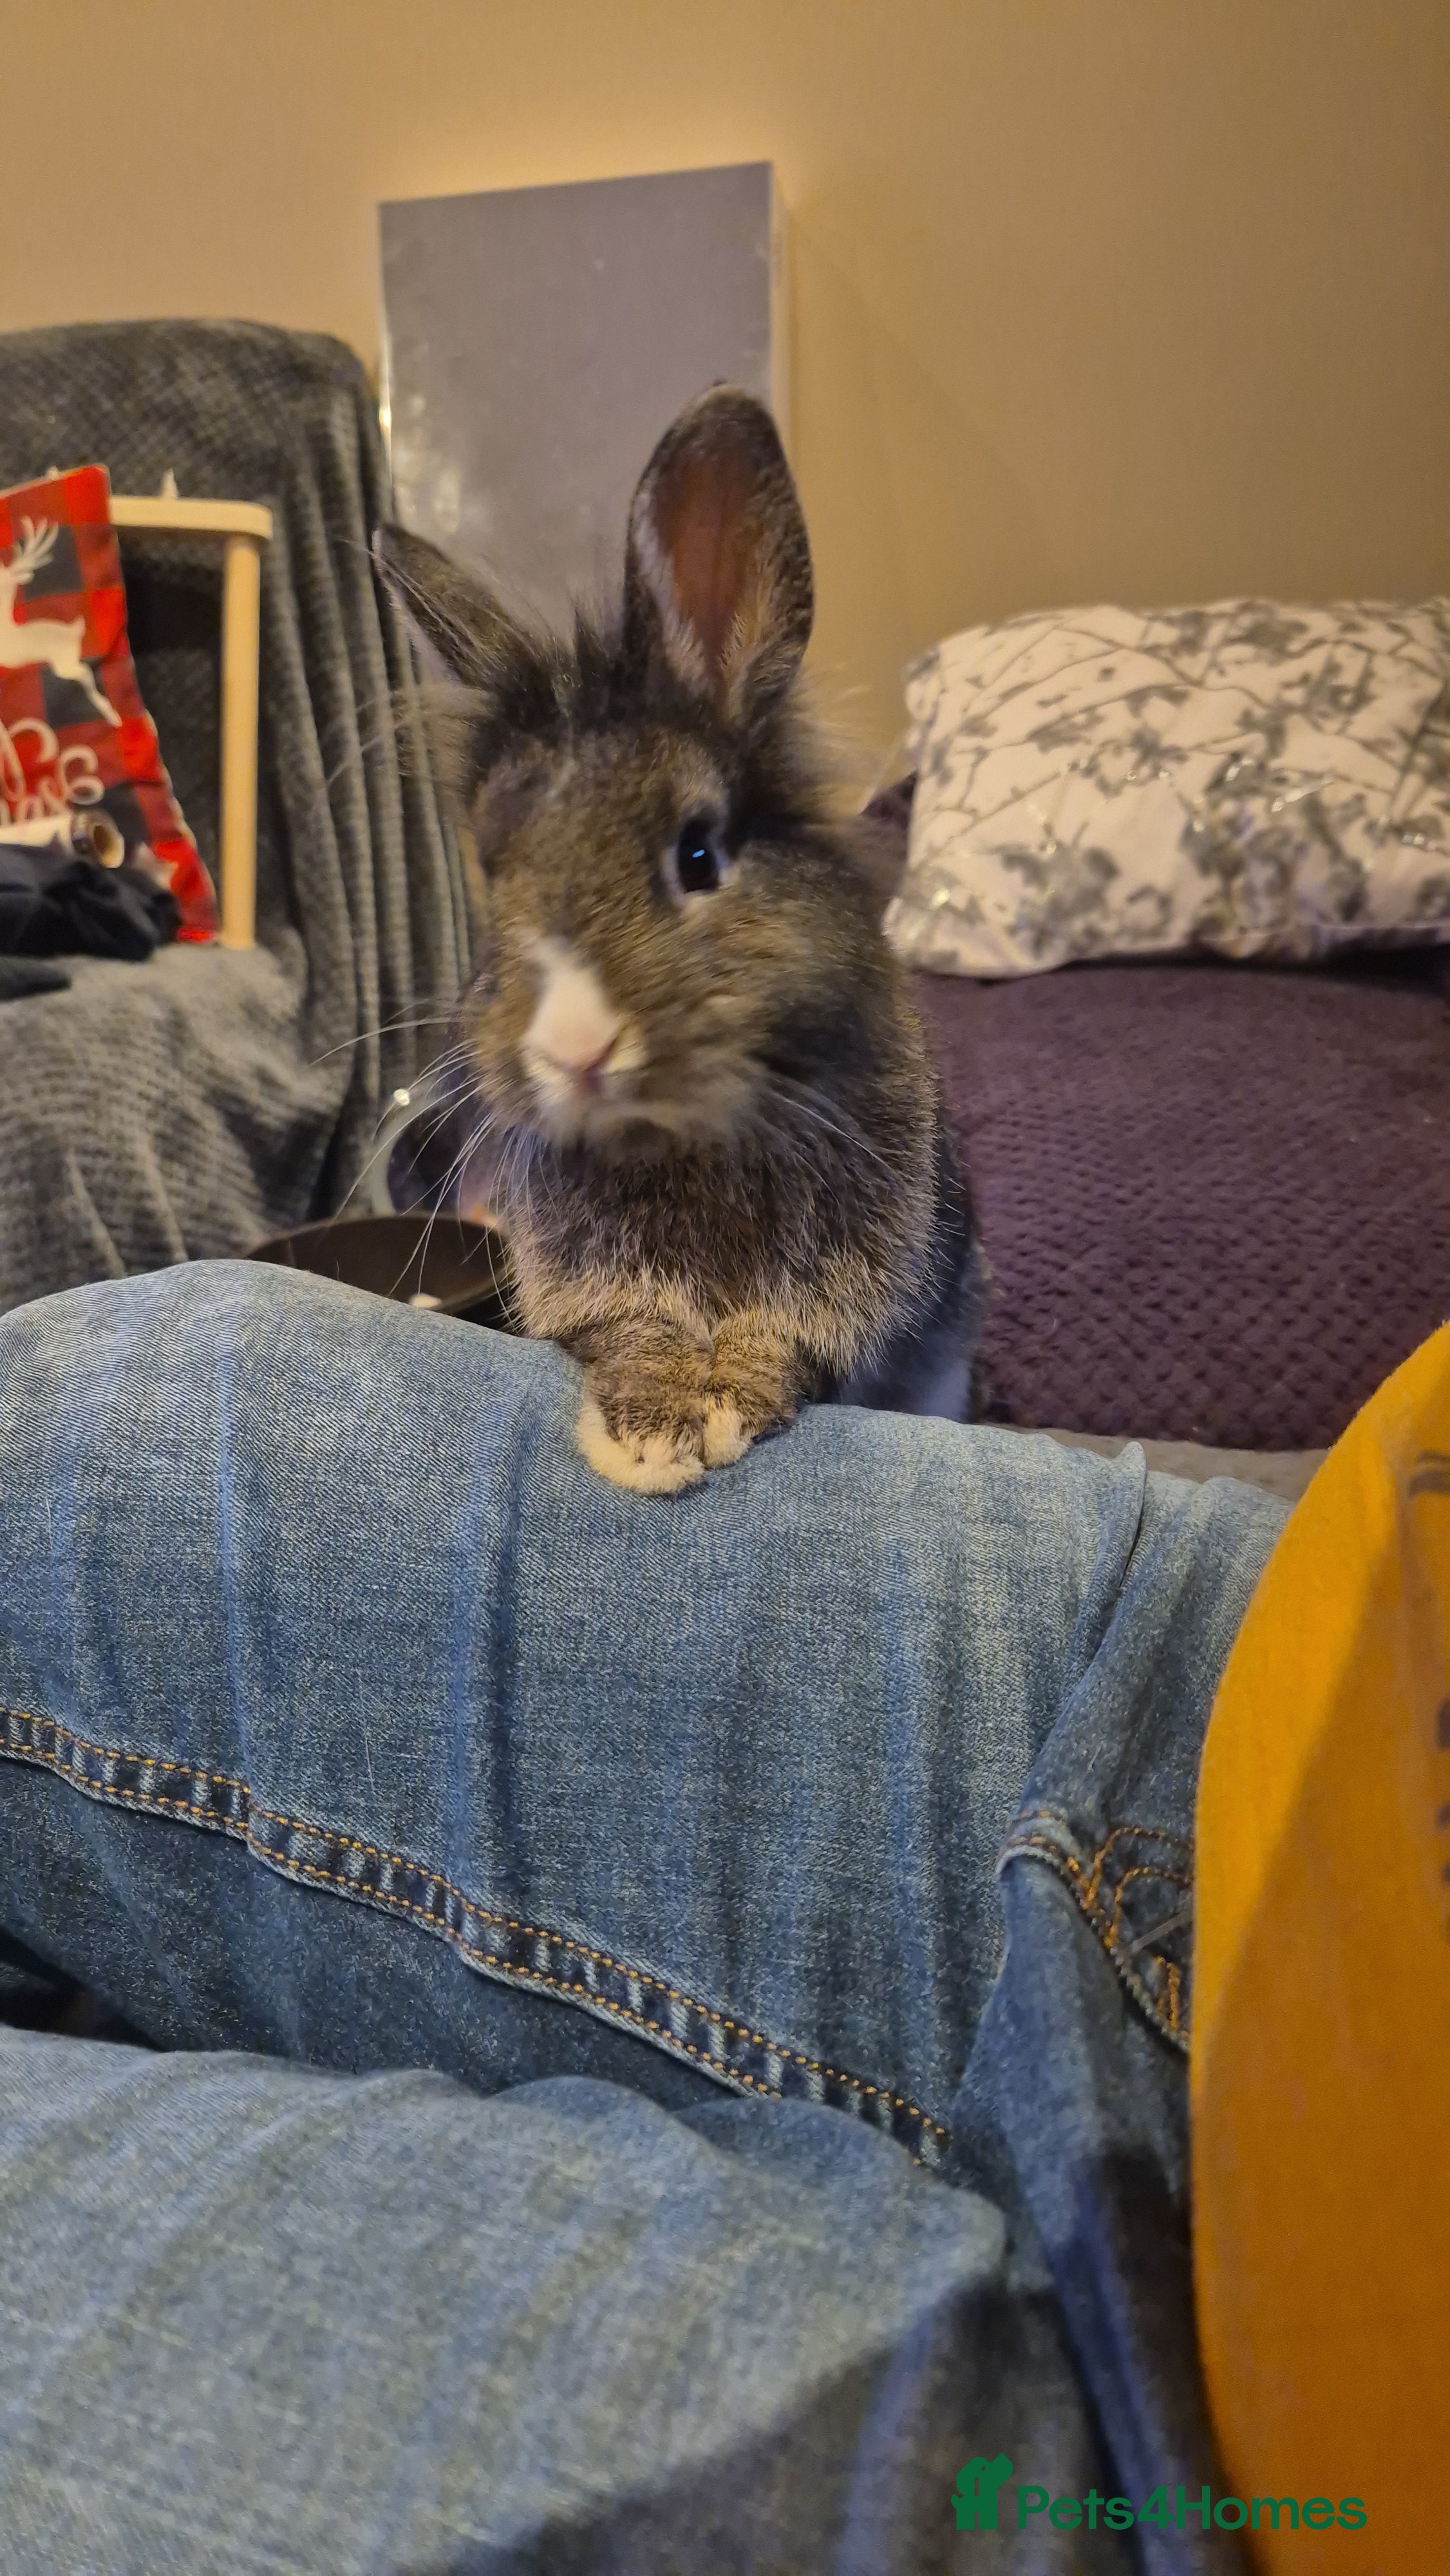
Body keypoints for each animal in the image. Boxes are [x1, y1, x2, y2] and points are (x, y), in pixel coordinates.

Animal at [377, 385, 987, 1493]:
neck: (680, 1130)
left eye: (698, 855)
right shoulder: (599, 1283)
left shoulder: (844, 1283)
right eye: (491, 872)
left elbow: (774, 1341)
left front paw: (724, 1415)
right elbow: (638, 1335)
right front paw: (651, 1440)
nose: (575, 1050)